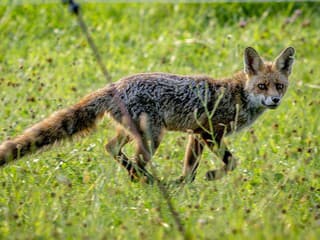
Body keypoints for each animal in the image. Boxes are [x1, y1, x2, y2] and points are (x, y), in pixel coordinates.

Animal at [0, 46, 296, 182]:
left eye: (279, 86)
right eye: (261, 86)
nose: (274, 100)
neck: (237, 96)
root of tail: (116, 85)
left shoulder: (196, 135)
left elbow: (191, 169)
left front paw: (185, 187)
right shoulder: (208, 132)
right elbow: (231, 163)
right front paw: (209, 177)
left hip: (133, 133)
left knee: (110, 147)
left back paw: (142, 179)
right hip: (154, 136)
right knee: (136, 160)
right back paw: (148, 182)